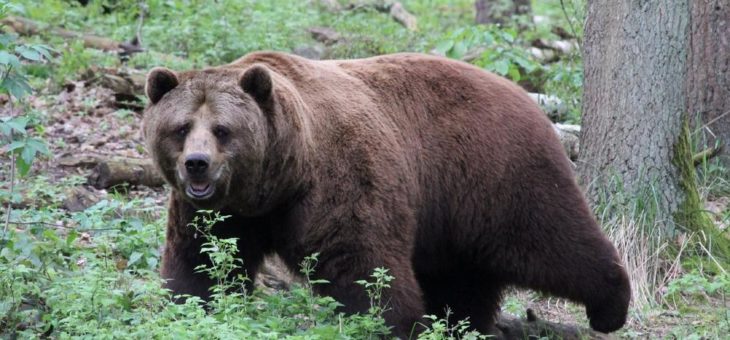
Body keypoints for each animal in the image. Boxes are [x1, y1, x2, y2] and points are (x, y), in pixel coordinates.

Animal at [141, 51, 624, 338]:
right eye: (180, 127)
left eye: (223, 129)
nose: (197, 163)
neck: (280, 177)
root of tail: (526, 97)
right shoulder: (223, 212)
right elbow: (201, 262)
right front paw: (188, 306)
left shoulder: (339, 182)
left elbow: (365, 266)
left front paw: (394, 323)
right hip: (452, 215)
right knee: (464, 278)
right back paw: (462, 324)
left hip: (498, 178)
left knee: (553, 242)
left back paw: (611, 305)